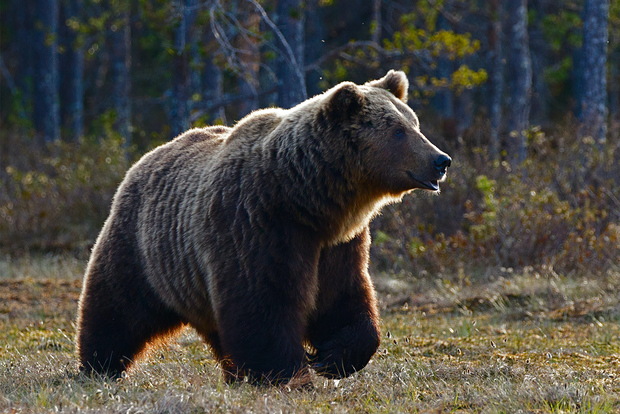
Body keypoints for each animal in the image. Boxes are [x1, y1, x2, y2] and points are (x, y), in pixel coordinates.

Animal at [76, 69, 450, 384]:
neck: (307, 200)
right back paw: (98, 366)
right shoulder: (256, 225)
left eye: (415, 124)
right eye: (398, 131)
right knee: (116, 308)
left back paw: (233, 374)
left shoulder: (338, 244)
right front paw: (287, 373)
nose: (441, 160)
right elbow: (263, 304)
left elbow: (343, 298)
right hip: (143, 247)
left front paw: (332, 357)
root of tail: (145, 158)